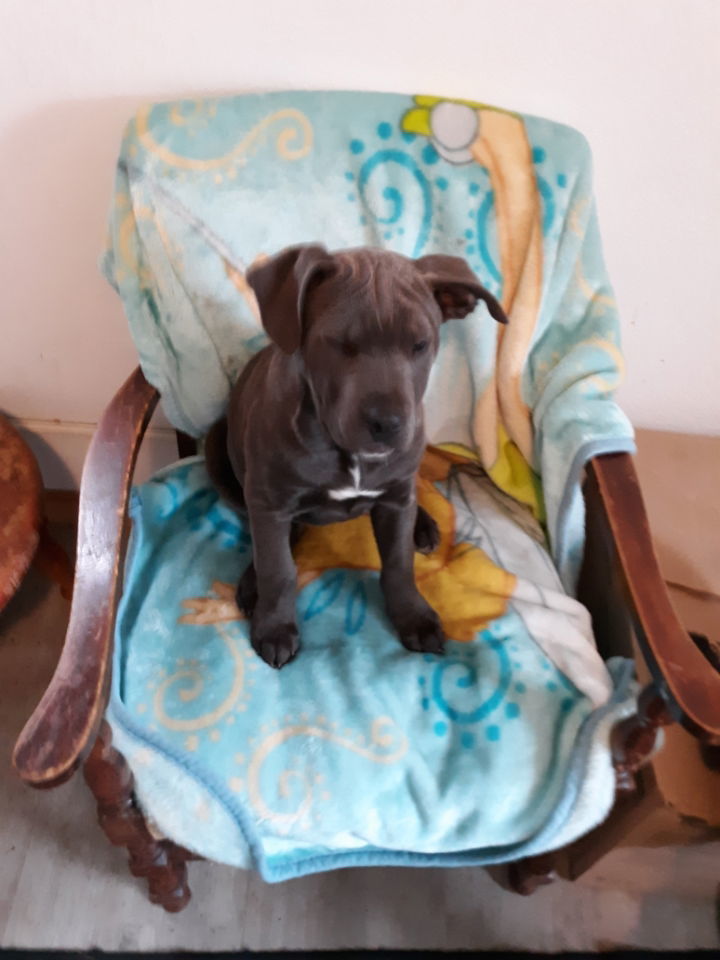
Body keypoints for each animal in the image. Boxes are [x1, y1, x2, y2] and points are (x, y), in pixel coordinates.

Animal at [204, 246, 506, 668]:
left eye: (420, 344)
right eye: (339, 344)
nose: (388, 423)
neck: (347, 453)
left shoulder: (394, 500)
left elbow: (398, 563)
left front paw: (413, 615)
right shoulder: (269, 502)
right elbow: (278, 568)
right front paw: (275, 626)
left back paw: (422, 524)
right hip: (217, 450)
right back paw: (253, 584)